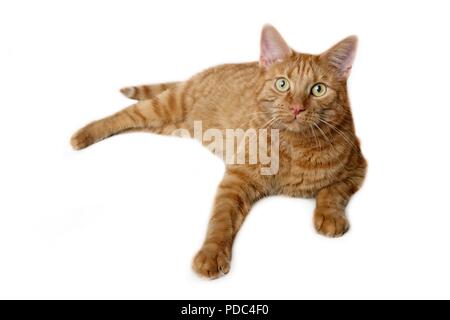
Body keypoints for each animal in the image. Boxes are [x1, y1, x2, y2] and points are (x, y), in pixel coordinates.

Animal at [70, 25, 366, 278]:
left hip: (169, 125)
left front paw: (330, 216)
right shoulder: (237, 178)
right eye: (282, 84)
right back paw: (83, 134)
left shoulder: (358, 168)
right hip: (166, 106)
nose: (296, 108)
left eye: (318, 89)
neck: (293, 146)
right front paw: (211, 253)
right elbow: (221, 218)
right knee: (124, 115)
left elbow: (333, 192)